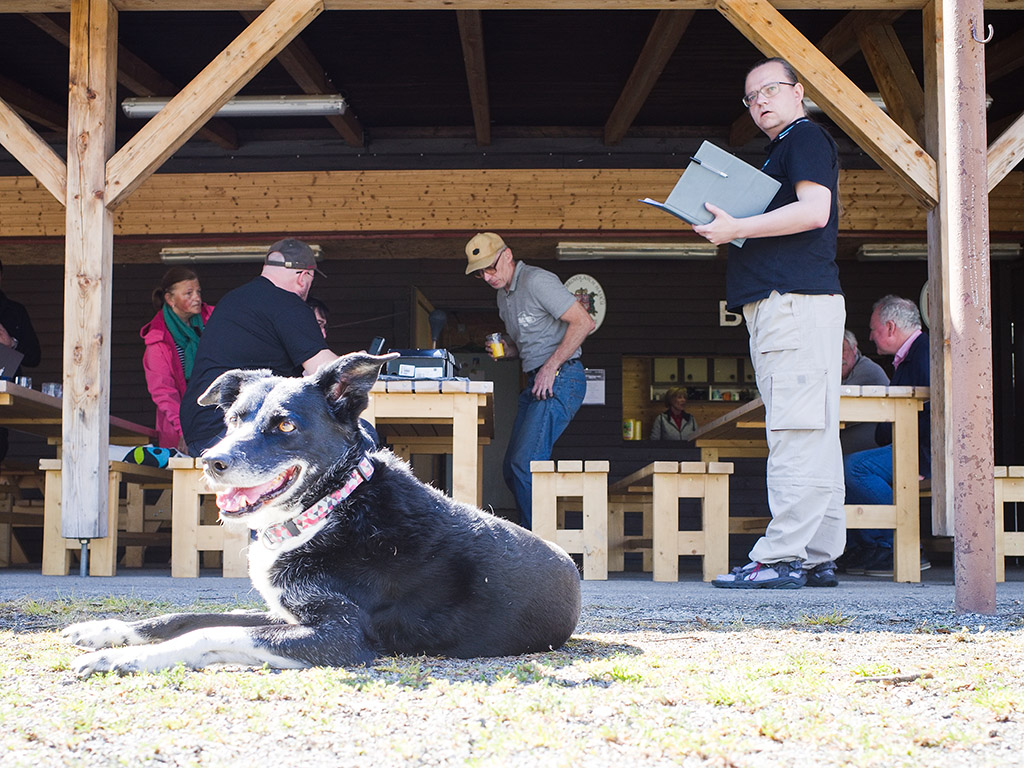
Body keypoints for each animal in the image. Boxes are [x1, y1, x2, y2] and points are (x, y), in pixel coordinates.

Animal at [63, 353, 581, 676]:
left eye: (285, 425)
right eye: (233, 419)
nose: (212, 460)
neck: (329, 510)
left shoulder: (340, 634)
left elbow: (208, 632)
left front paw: (124, 661)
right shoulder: (285, 613)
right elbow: (187, 617)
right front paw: (104, 630)